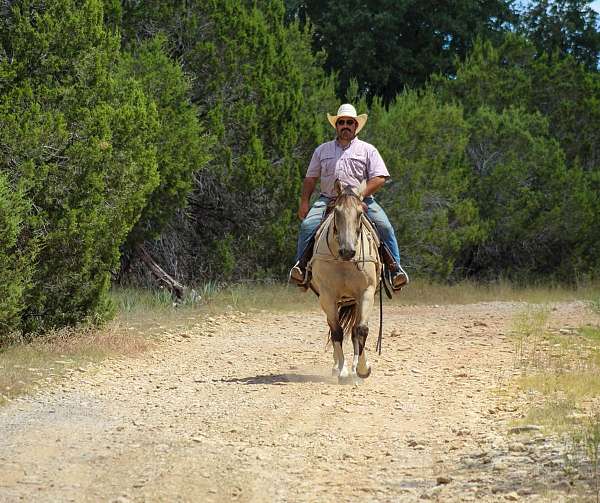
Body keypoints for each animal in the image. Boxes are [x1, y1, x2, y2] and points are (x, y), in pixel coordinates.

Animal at [308, 180, 382, 382]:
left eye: (360, 212)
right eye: (336, 211)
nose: (347, 251)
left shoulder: (366, 292)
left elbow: (361, 330)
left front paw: (363, 369)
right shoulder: (327, 296)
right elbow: (337, 331)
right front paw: (342, 370)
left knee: (356, 330)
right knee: (334, 328)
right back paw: (337, 366)